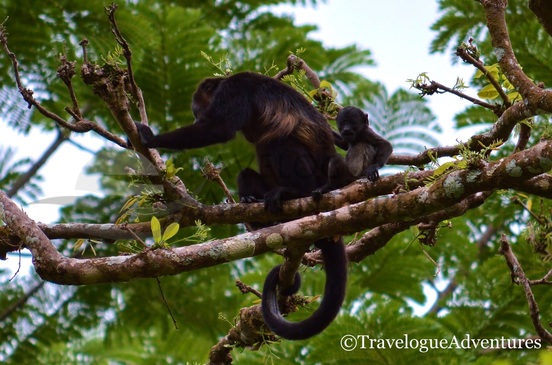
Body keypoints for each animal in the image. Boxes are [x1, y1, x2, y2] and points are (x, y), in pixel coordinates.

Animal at [134, 71, 348, 338]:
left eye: (196, 109)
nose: (196, 116)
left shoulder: (235, 89)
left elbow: (220, 128)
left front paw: (150, 137)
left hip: (316, 179)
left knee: (280, 143)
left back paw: (293, 192)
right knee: (245, 173)